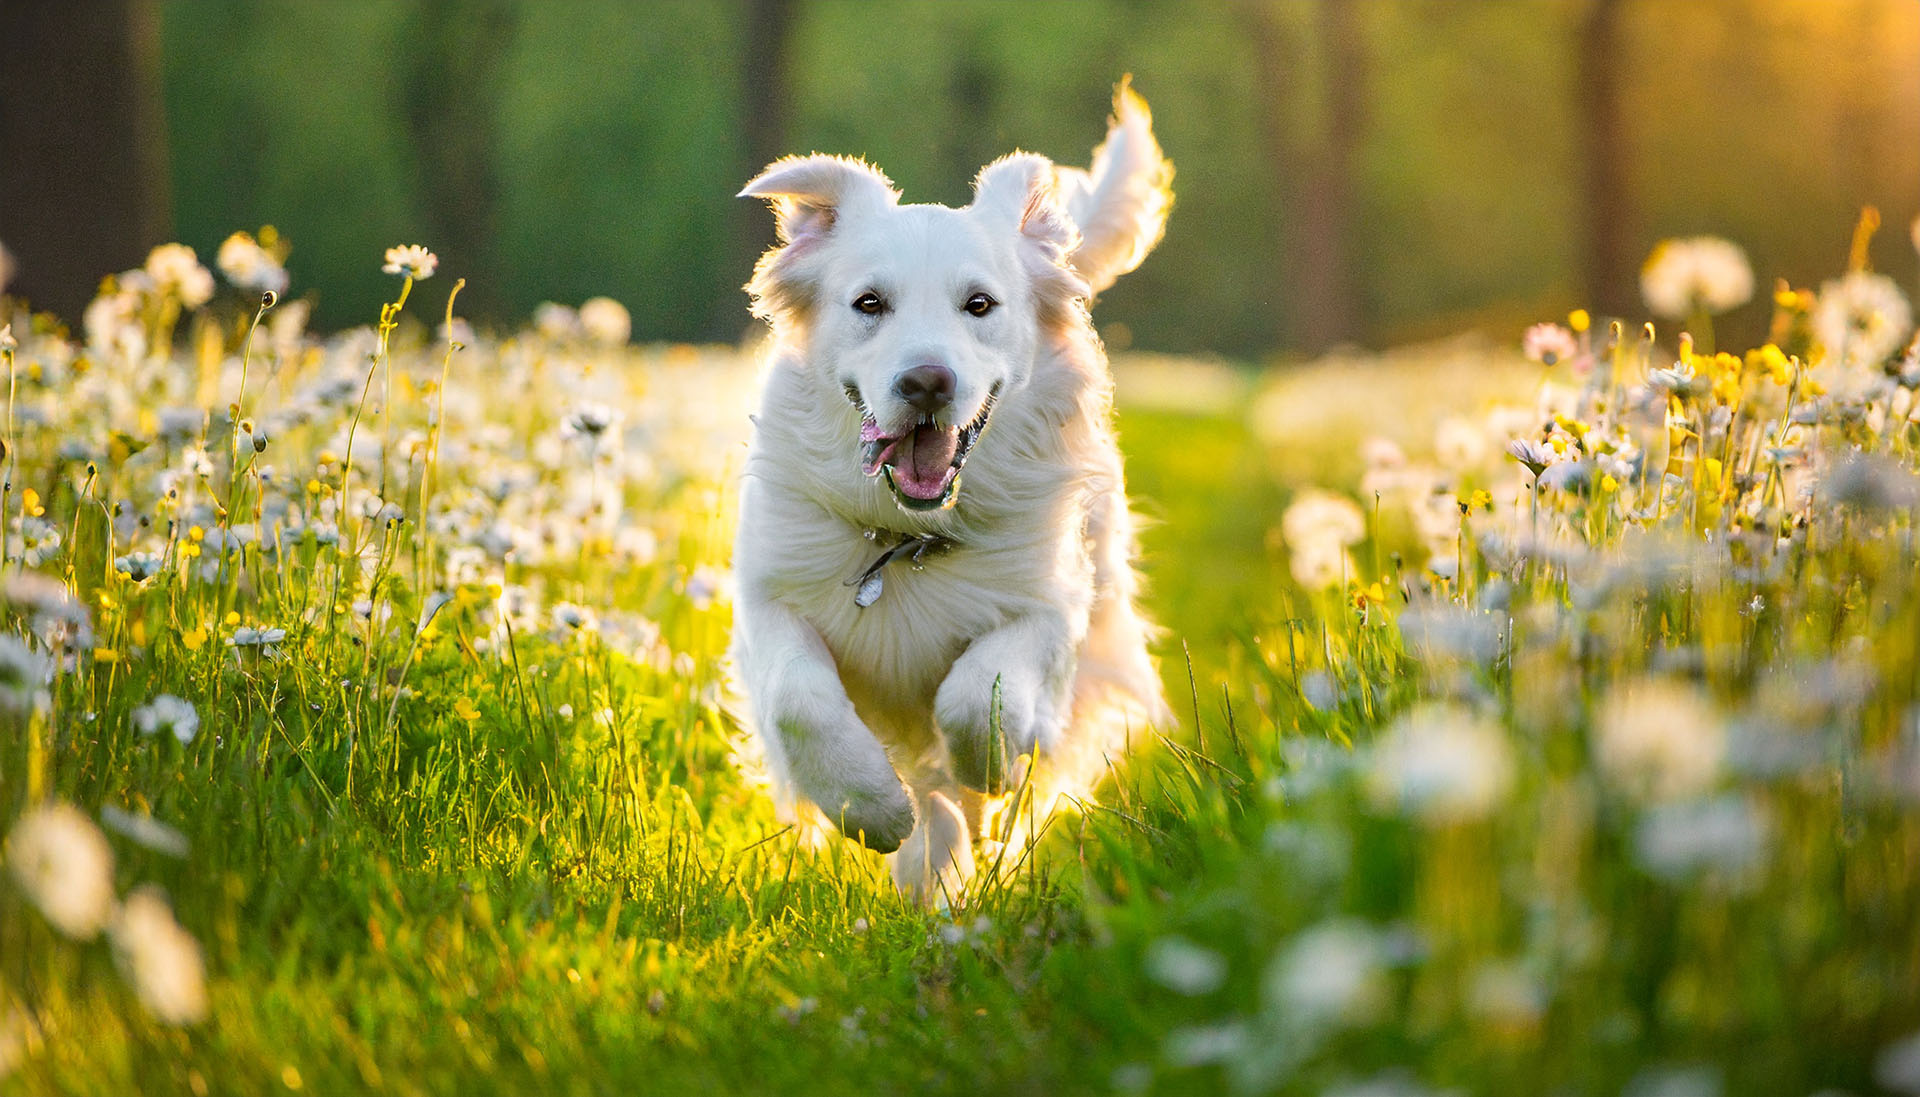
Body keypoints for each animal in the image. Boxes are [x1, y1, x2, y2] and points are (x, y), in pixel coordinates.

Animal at [725, 77, 1167, 902]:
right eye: (869, 303)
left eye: (980, 305)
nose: (927, 380)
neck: (904, 539)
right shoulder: (770, 598)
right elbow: (802, 702)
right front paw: (869, 806)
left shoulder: (1051, 608)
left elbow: (974, 695)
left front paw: (987, 769)